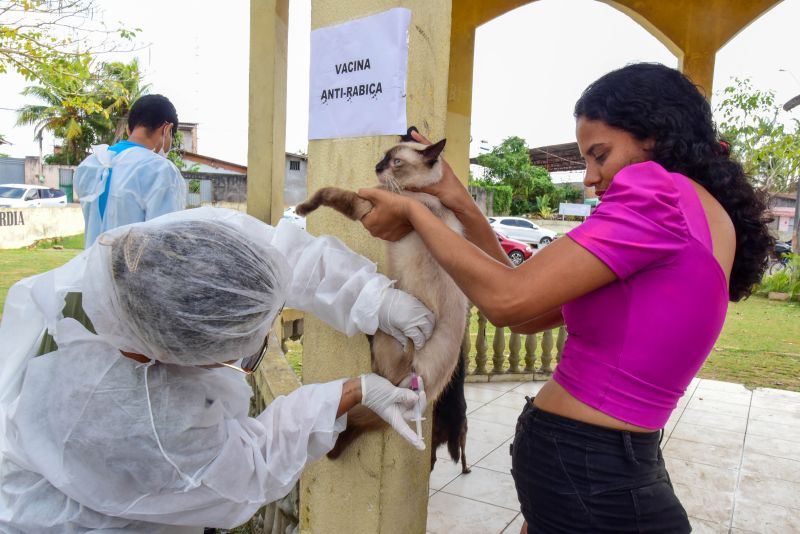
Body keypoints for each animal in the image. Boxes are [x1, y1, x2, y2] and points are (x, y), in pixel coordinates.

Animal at [296, 129, 468, 460]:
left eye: (396, 162)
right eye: (384, 157)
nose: (377, 167)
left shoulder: (367, 204)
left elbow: (326, 192)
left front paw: (301, 209)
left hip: (393, 344)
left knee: (378, 371)